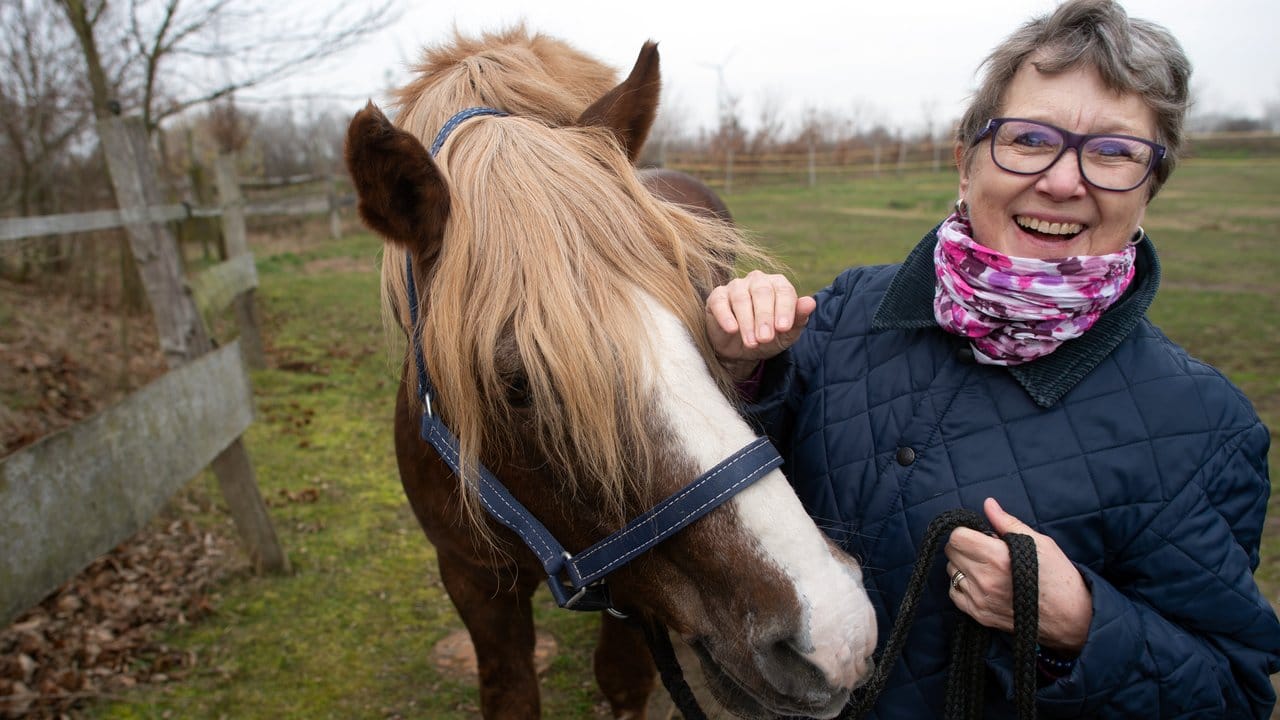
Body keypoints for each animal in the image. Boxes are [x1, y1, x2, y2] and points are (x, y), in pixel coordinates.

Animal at [345, 28, 875, 717]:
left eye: (703, 310)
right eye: (519, 385)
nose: (834, 632)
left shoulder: (633, 595)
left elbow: (622, 681)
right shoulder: (470, 579)